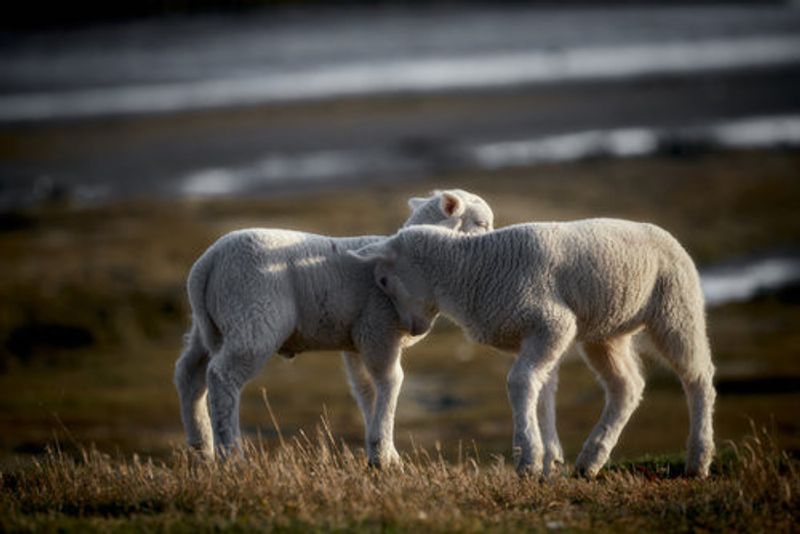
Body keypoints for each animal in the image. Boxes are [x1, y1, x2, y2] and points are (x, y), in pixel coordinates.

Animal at [174, 189, 494, 466]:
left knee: (190, 373)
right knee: (222, 376)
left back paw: (201, 448)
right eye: (481, 223)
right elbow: (391, 382)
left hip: (211, 325)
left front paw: (381, 453)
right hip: (253, 317)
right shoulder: (379, 330)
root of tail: (208, 263)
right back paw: (232, 455)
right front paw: (384, 455)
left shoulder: (358, 340)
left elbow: (365, 390)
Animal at [350, 219, 716, 478]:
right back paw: (591, 459)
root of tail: (666, 235)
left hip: (675, 307)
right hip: (606, 331)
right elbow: (540, 390)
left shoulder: (553, 323)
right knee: (627, 386)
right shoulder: (529, 335)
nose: (411, 331)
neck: (470, 270)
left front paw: (528, 458)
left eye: (383, 280)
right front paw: (546, 458)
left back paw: (698, 459)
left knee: (698, 378)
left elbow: (520, 382)